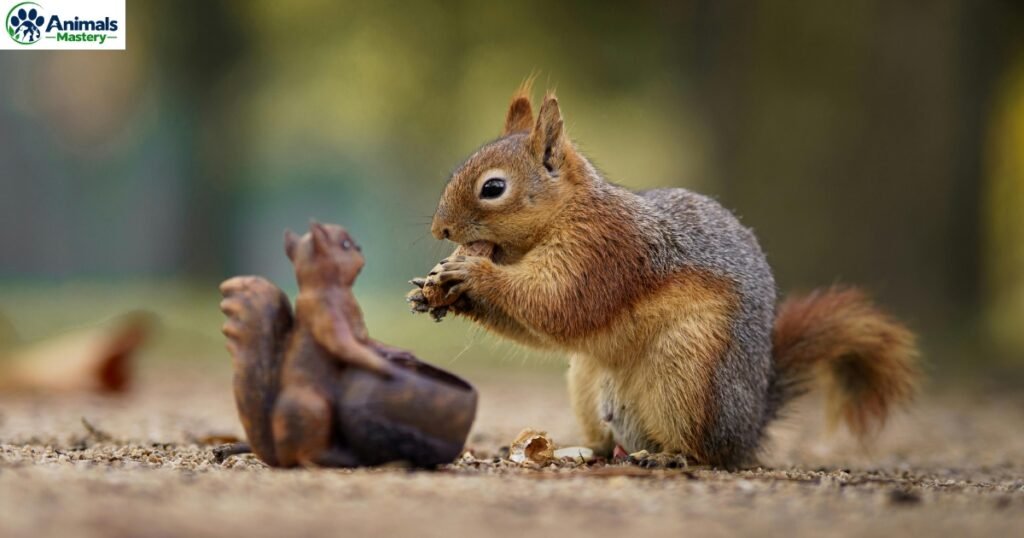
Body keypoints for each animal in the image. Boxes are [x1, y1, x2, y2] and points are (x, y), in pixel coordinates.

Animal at [407, 80, 920, 467]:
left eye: (493, 188)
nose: (439, 229)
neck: (569, 212)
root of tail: (750, 424)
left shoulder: (603, 253)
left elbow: (558, 303)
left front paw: (472, 273)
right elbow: (539, 324)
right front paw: (433, 290)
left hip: (690, 376)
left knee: (707, 452)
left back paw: (671, 457)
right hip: (587, 379)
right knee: (606, 441)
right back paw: (577, 450)